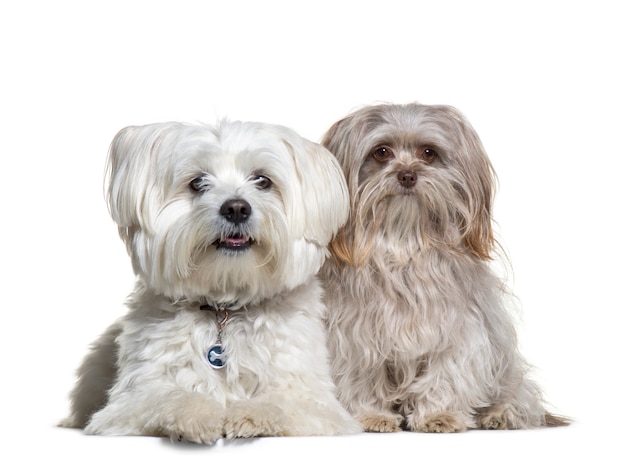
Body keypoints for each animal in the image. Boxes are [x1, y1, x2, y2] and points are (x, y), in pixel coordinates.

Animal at [61, 119, 360, 442]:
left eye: (263, 180)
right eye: (197, 182)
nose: (236, 208)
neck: (224, 306)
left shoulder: (316, 402)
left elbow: (284, 401)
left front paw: (252, 414)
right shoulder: (129, 402)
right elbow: (168, 396)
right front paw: (195, 415)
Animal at [320, 103, 568, 434]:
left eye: (428, 153)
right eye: (382, 152)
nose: (407, 175)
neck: (404, 242)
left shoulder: (459, 329)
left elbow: (446, 372)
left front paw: (439, 414)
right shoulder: (354, 333)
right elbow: (361, 376)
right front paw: (371, 415)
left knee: (522, 398)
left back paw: (500, 414)